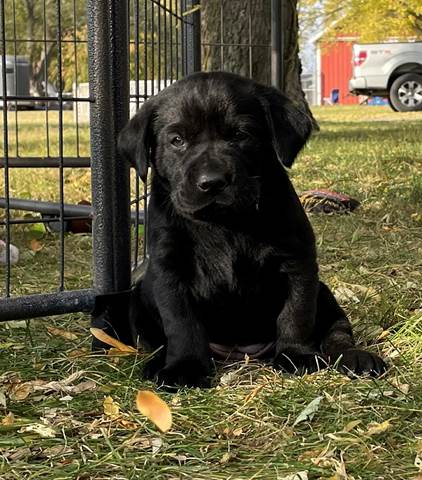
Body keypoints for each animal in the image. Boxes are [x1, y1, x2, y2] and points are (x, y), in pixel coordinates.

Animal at [118, 71, 386, 386]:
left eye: (240, 135)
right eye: (177, 140)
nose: (212, 181)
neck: (224, 223)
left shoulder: (298, 262)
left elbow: (296, 313)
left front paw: (296, 355)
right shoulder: (169, 270)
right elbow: (181, 324)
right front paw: (185, 367)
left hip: (324, 293)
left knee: (337, 332)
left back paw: (356, 357)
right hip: (137, 300)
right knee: (157, 342)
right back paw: (157, 364)